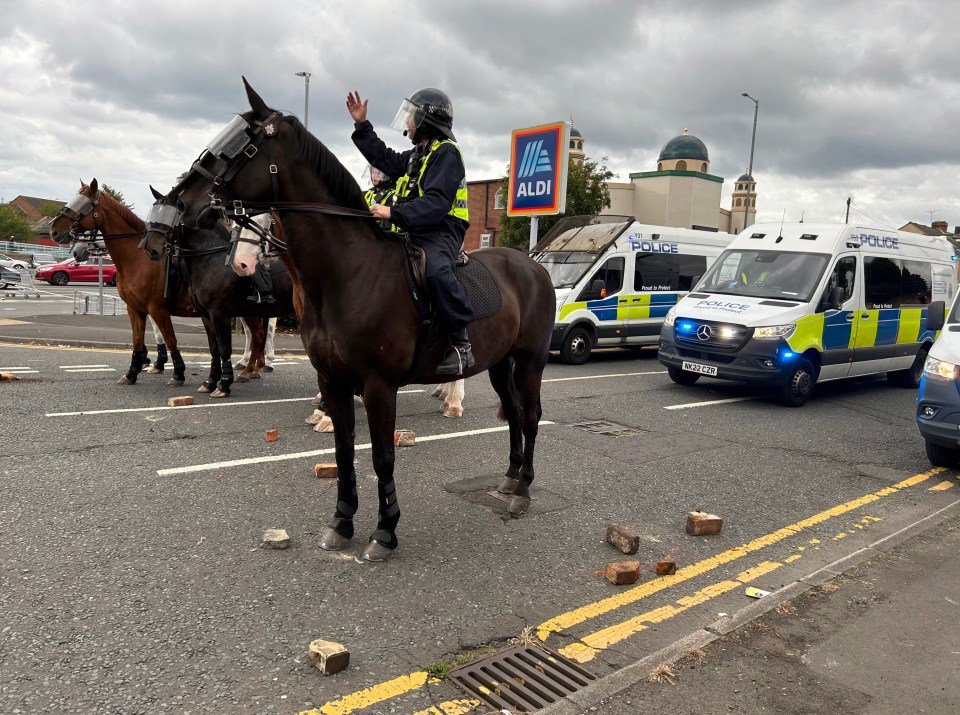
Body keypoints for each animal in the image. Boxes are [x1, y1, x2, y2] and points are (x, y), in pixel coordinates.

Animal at [150, 81, 556, 564]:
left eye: (240, 145)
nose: (181, 202)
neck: (349, 271)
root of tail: (533, 265)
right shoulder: (332, 379)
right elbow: (344, 452)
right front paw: (342, 523)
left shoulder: (379, 385)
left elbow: (381, 456)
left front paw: (384, 532)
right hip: (500, 363)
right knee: (512, 414)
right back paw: (510, 478)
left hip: (530, 361)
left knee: (529, 415)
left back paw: (523, 489)